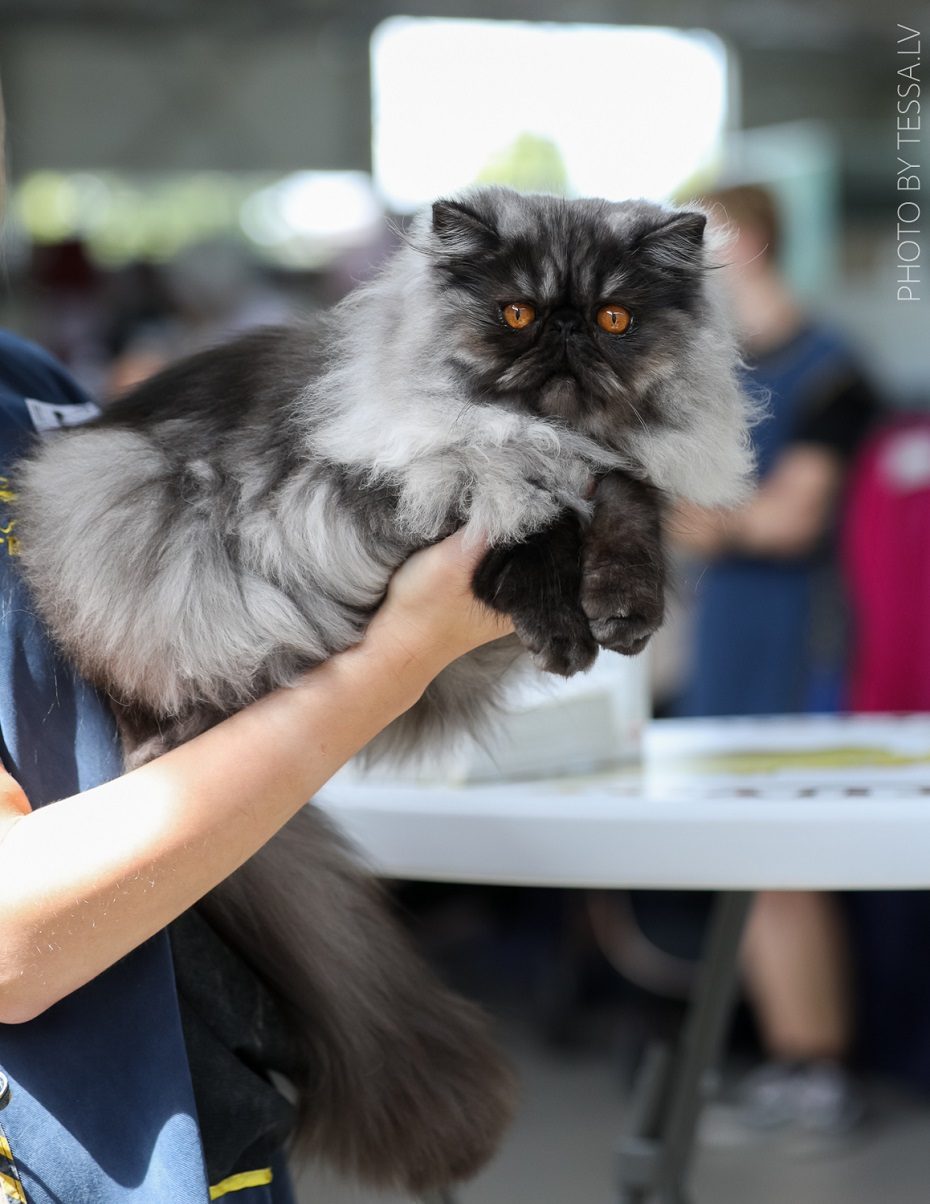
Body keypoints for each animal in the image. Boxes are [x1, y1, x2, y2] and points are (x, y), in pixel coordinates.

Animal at [12, 187, 756, 1194]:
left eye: (613, 318)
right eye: (515, 312)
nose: (565, 332)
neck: (549, 434)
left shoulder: (616, 474)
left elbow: (624, 515)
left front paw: (624, 611)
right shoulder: (419, 482)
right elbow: (524, 524)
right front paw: (561, 630)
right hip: (114, 504)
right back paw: (176, 740)